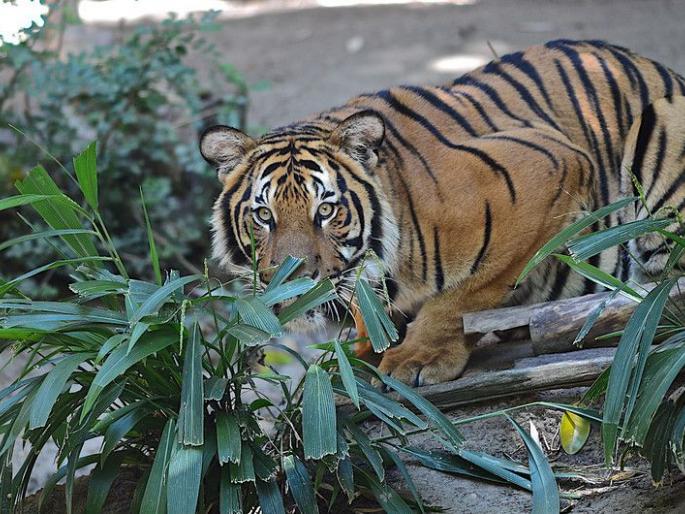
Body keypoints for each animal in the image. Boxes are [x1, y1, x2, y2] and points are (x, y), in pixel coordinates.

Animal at [200, 39, 685, 387]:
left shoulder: (550, 168)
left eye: (326, 210)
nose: (294, 281)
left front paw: (420, 356)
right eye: (264, 216)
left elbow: (469, 291)